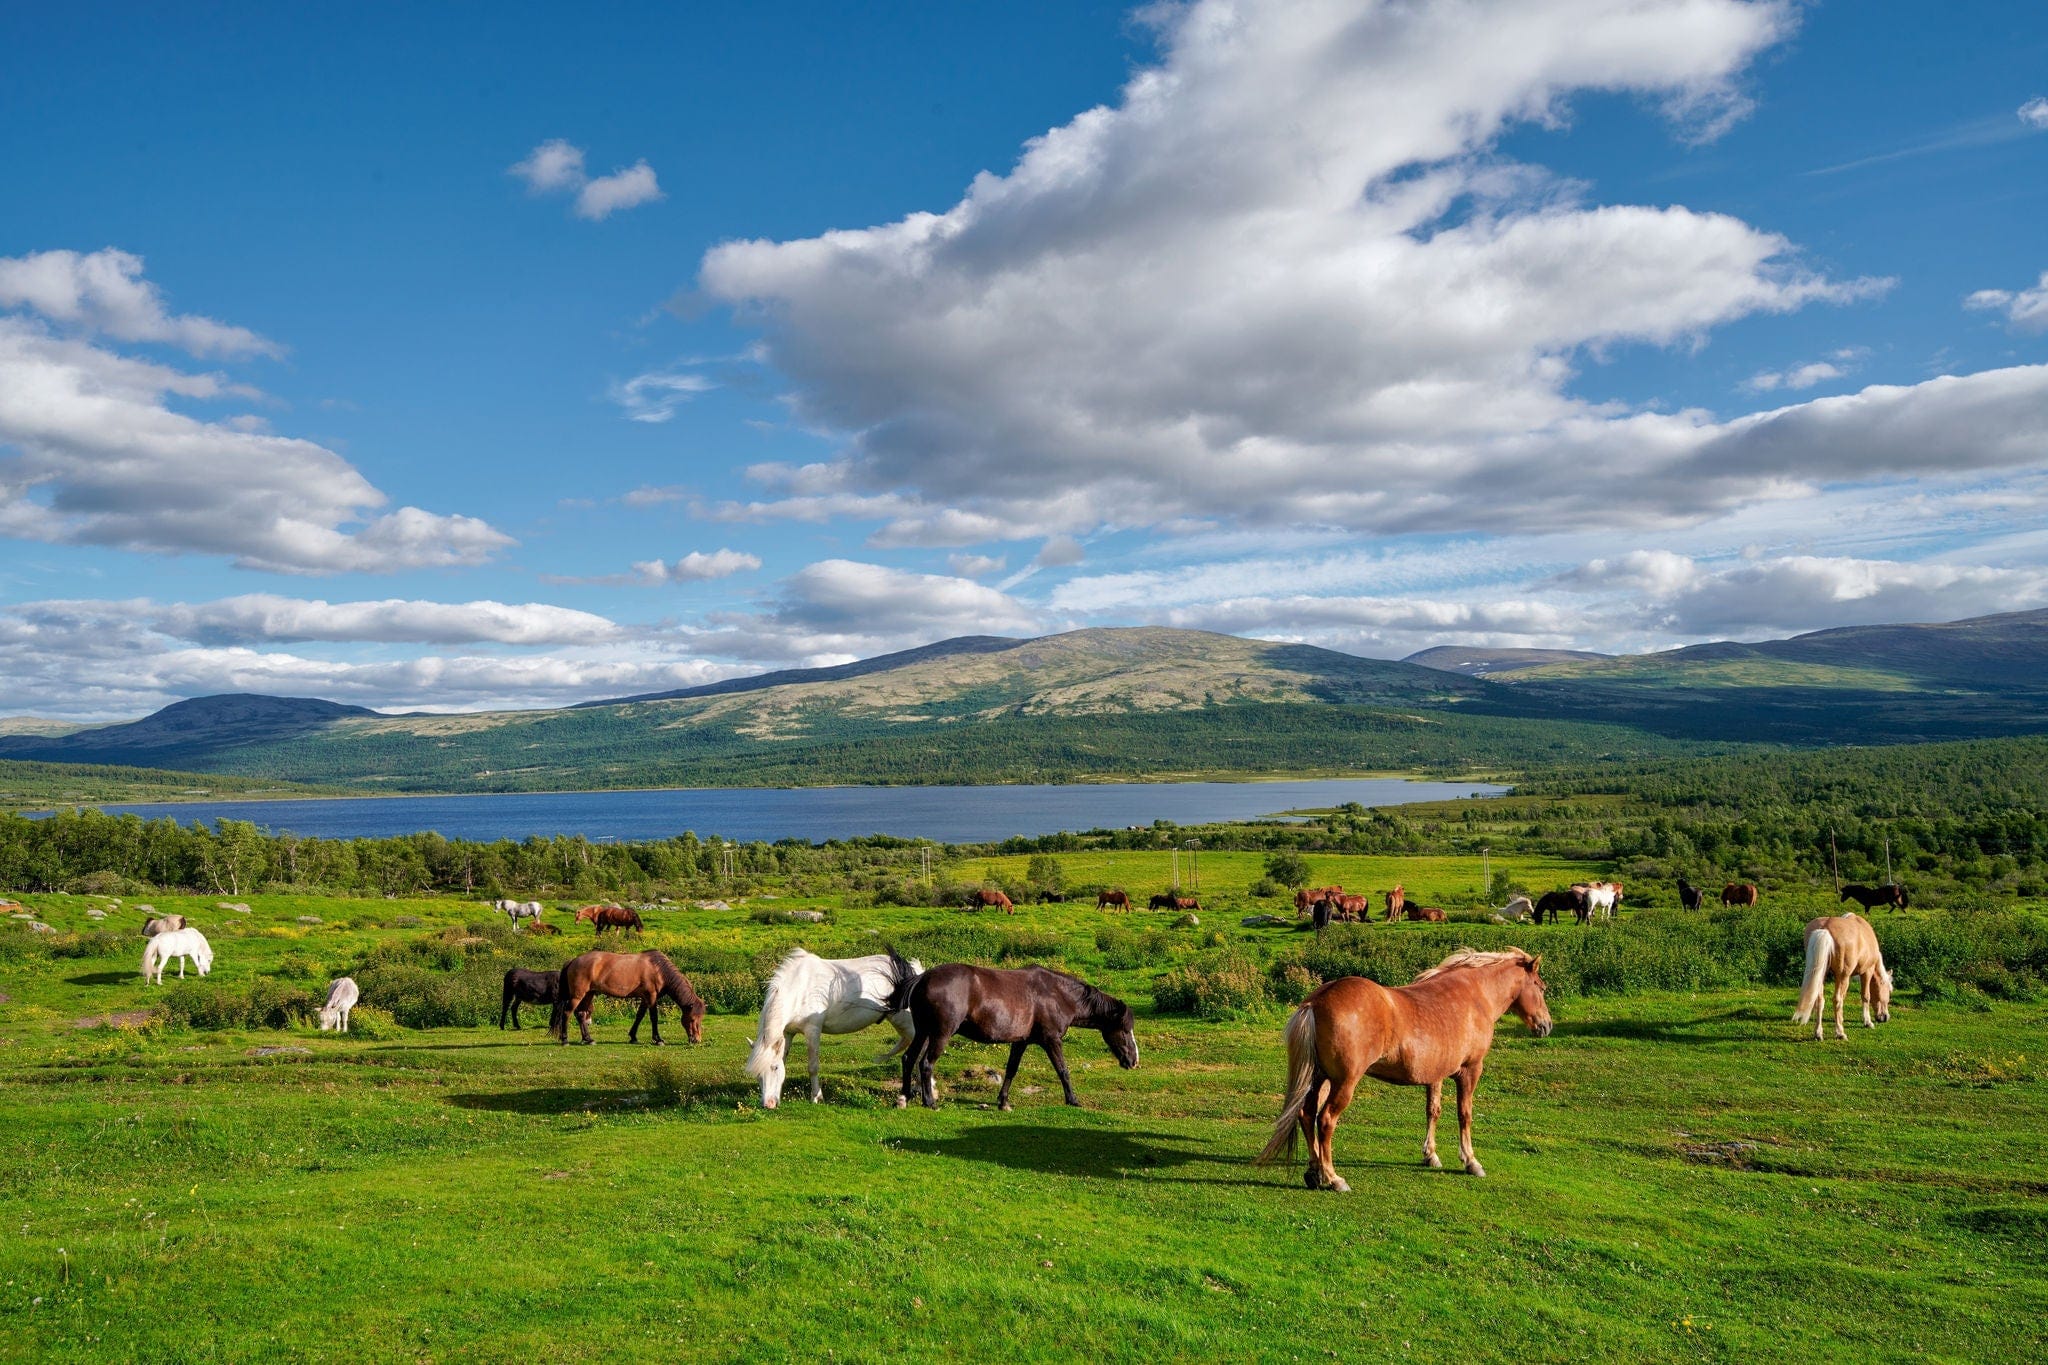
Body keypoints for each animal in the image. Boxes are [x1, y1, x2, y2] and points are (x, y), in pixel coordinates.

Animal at [549, 951, 704, 1046]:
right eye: (692, 1019)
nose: (697, 1040)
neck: (658, 969)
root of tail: (573, 961)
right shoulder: (651, 997)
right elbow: (654, 1017)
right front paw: (658, 1039)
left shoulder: (645, 998)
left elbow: (639, 1016)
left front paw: (633, 1037)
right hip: (578, 995)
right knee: (567, 1013)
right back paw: (565, 1040)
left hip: (588, 994)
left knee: (581, 1014)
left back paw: (588, 1039)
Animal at [747, 948, 923, 1108]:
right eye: (758, 1074)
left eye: (774, 1068)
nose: (768, 1104)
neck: (799, 989)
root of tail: (915, 971)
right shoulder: (788, 1033)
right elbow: (784, 1057)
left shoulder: (813, 1030)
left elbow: (812, 1066)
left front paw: (816, 1097)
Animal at [898, 964, 1138, 1110]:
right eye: (1125, 1030)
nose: (1134, 1062)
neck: (1058, 995)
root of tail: (923, 978)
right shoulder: (1052, 1041)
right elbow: (1063, 1070)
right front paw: (1073, 1100)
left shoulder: (1020, 1042)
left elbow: (1011, 1070)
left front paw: (1003, 1102)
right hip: (940, 1034)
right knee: (926, 1063)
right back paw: (929, 1102)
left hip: (923, 1032)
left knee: (909, 1059)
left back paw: (904, 1097)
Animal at [1257, 948, 1552, 1190]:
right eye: (1541, 987)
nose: (1546, 1025)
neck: (1475, 996)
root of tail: (1316, 1001)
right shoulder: (1470, 1070)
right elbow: (1464, 1115)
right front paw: (1470, 1161)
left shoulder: (1436, 1074)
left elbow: (1433, 1111)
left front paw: (1431, 1155)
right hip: (1343, 1082)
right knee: (1326, 1120)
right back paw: (1333, 1178)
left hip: (1319, 1079)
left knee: (1306, 1115)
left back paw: (1314, 1173)